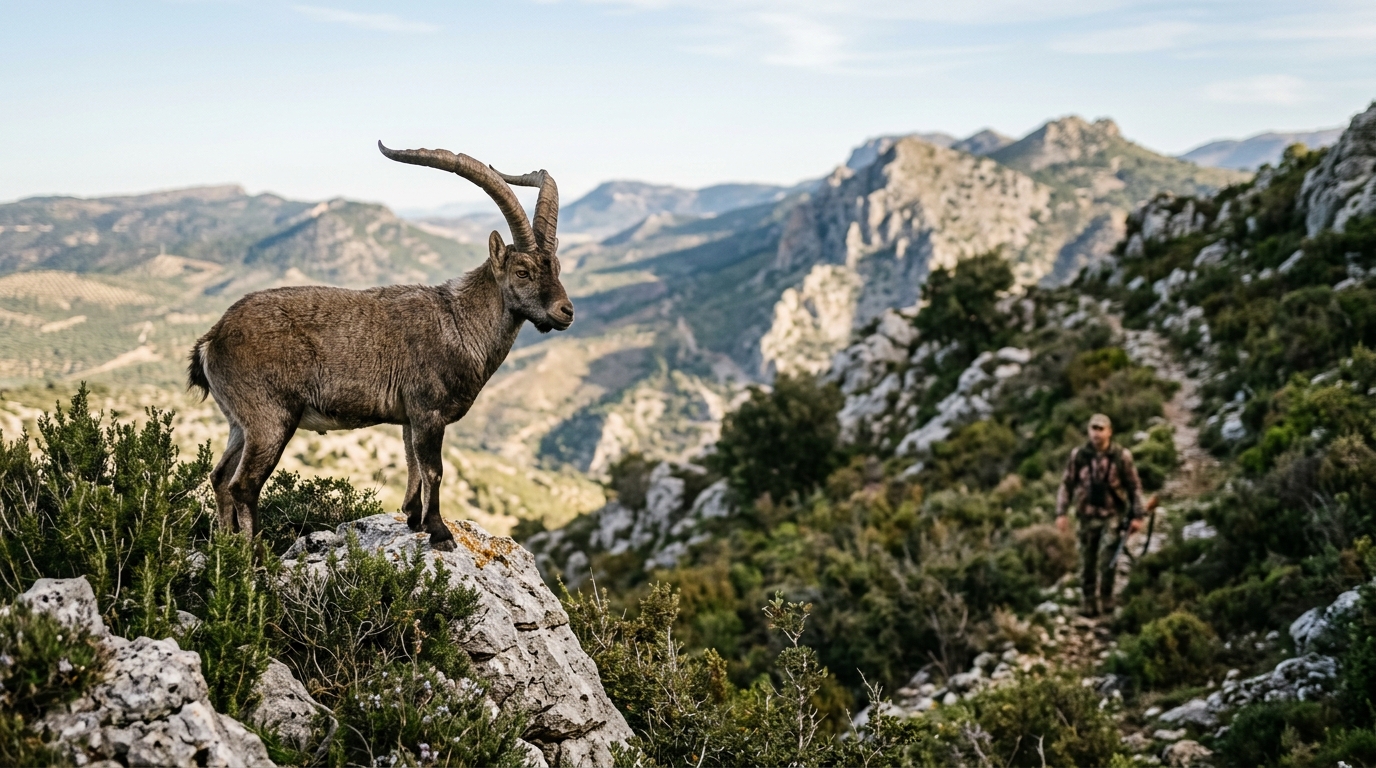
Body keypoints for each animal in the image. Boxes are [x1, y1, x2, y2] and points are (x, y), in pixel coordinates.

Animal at [187, 142, 573, 550]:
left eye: (557, 267)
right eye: (522, 271)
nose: (566, 311)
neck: (459, 323)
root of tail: (212, 339)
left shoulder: (409, 418)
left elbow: (413, 465)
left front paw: (414, 519)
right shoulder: (428, 412)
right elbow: (433, 470)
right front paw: (439, 532)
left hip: (239, 422)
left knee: (219, 478)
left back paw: (225, 548)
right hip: (270, 419)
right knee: (243, 486)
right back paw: (254, 555)